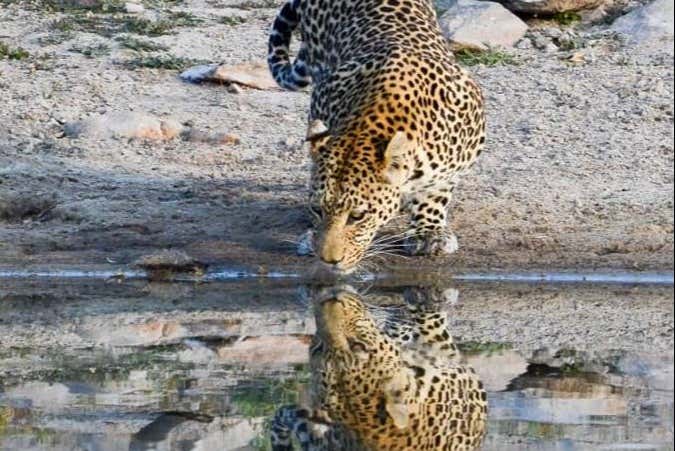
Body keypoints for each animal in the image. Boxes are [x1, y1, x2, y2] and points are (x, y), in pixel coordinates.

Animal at [268, 0, 486, 273]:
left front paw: (429, 232)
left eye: (357, 216)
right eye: (318, 209)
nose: (328, 261)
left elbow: (437, 191)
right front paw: (311, 237)